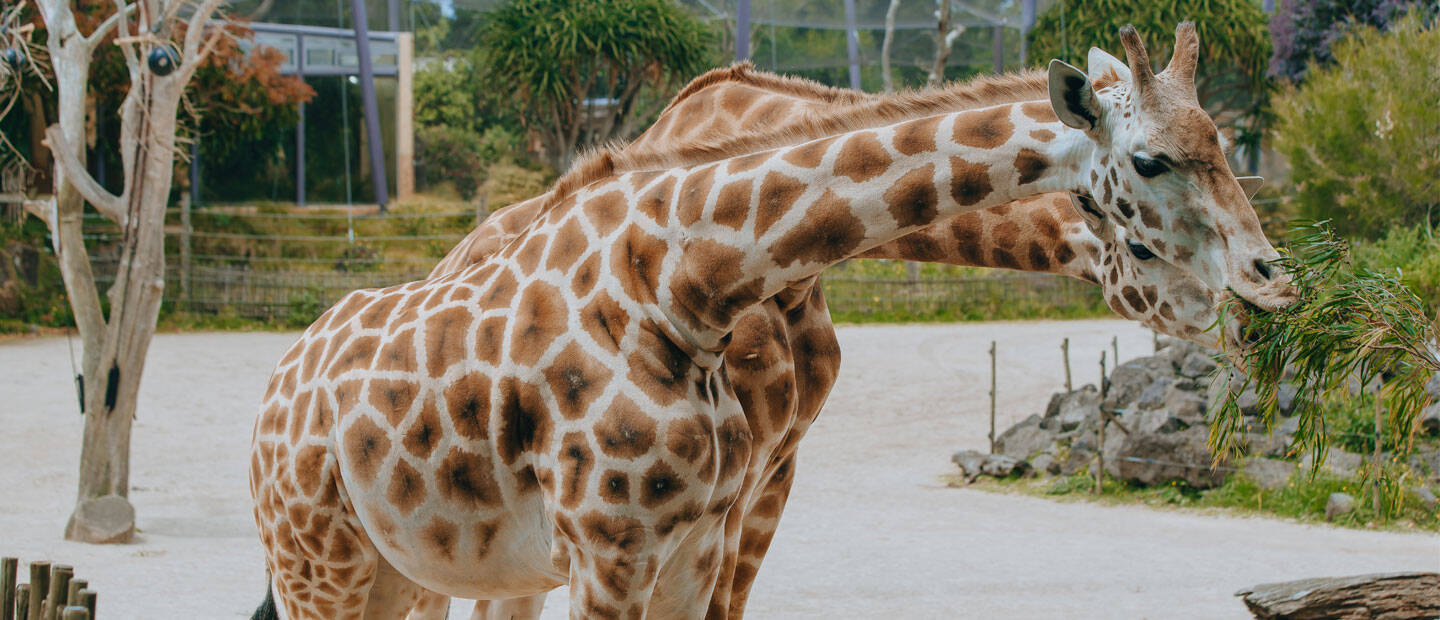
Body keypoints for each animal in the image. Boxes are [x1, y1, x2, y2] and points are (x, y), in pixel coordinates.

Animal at [250, 24, 1293, 619]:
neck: (690, 283)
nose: (1270, 286)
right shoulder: (610, 549)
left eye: (1224, 140)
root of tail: (281, 380)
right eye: (1152, 162)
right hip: (318, 561)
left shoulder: (709, 526)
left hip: (416, 570)